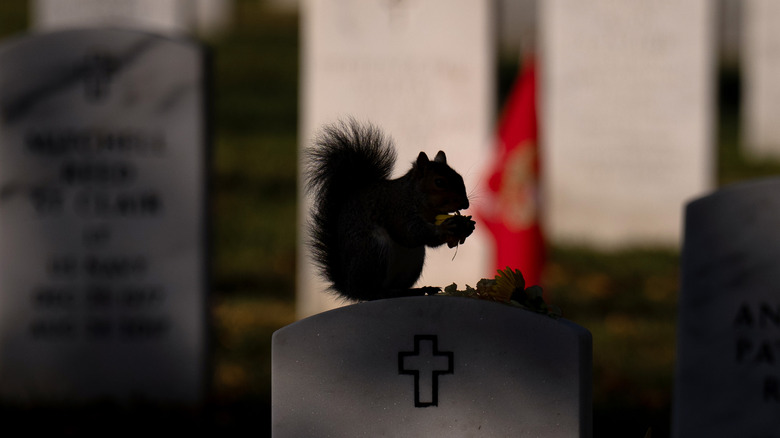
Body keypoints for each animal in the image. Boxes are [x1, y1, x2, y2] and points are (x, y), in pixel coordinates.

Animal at [304, 118, 476, 300]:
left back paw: (415, 290)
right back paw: (382, 292)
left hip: (413, 260)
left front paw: (467, 227)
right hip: (373, 251)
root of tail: (349, 287)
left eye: (460, 177)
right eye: (439, 182)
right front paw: (445, 227)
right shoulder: (396, 209)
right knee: (368, 292)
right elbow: (410, 233)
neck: (418, 200)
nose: (465, 204)